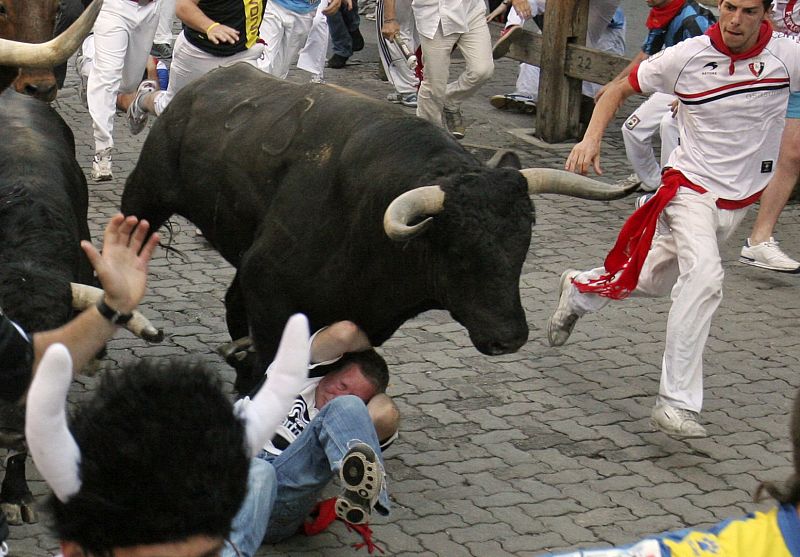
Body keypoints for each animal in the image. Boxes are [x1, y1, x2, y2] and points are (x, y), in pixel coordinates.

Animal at [122, 63, 636, 394]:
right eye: (458, 250)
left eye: (523, 243)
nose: (509, 337)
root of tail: (199, 86)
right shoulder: (268, 291)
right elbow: (269, 365)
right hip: (145, 195)